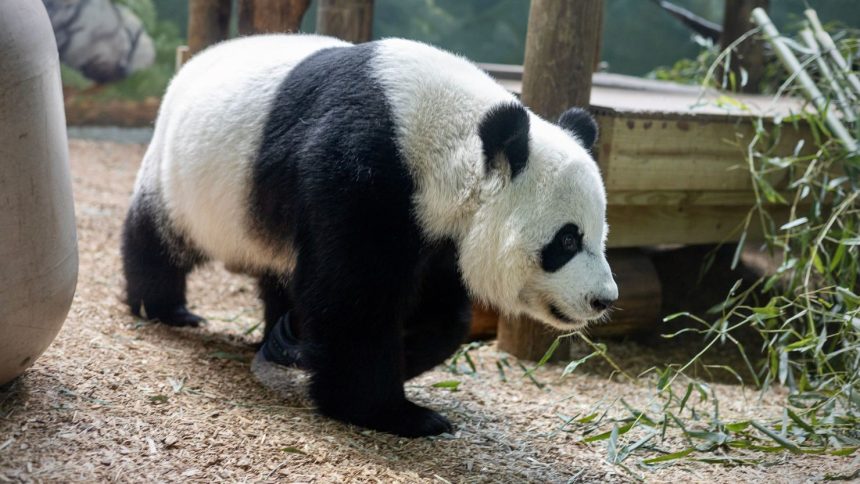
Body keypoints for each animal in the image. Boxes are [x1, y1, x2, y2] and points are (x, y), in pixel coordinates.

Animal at [122, 33, 620, 434]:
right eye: (567, 241)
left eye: (601, 235)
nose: (603, 299)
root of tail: (191, 62)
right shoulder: (361, 171)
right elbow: (353, 298)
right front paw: (392, 413)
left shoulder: (433, 227)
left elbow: (442, 312)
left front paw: (402, 354)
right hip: (184, 175)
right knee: (158, 236)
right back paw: (165, 306)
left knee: (279, 271)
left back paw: (281, 337)